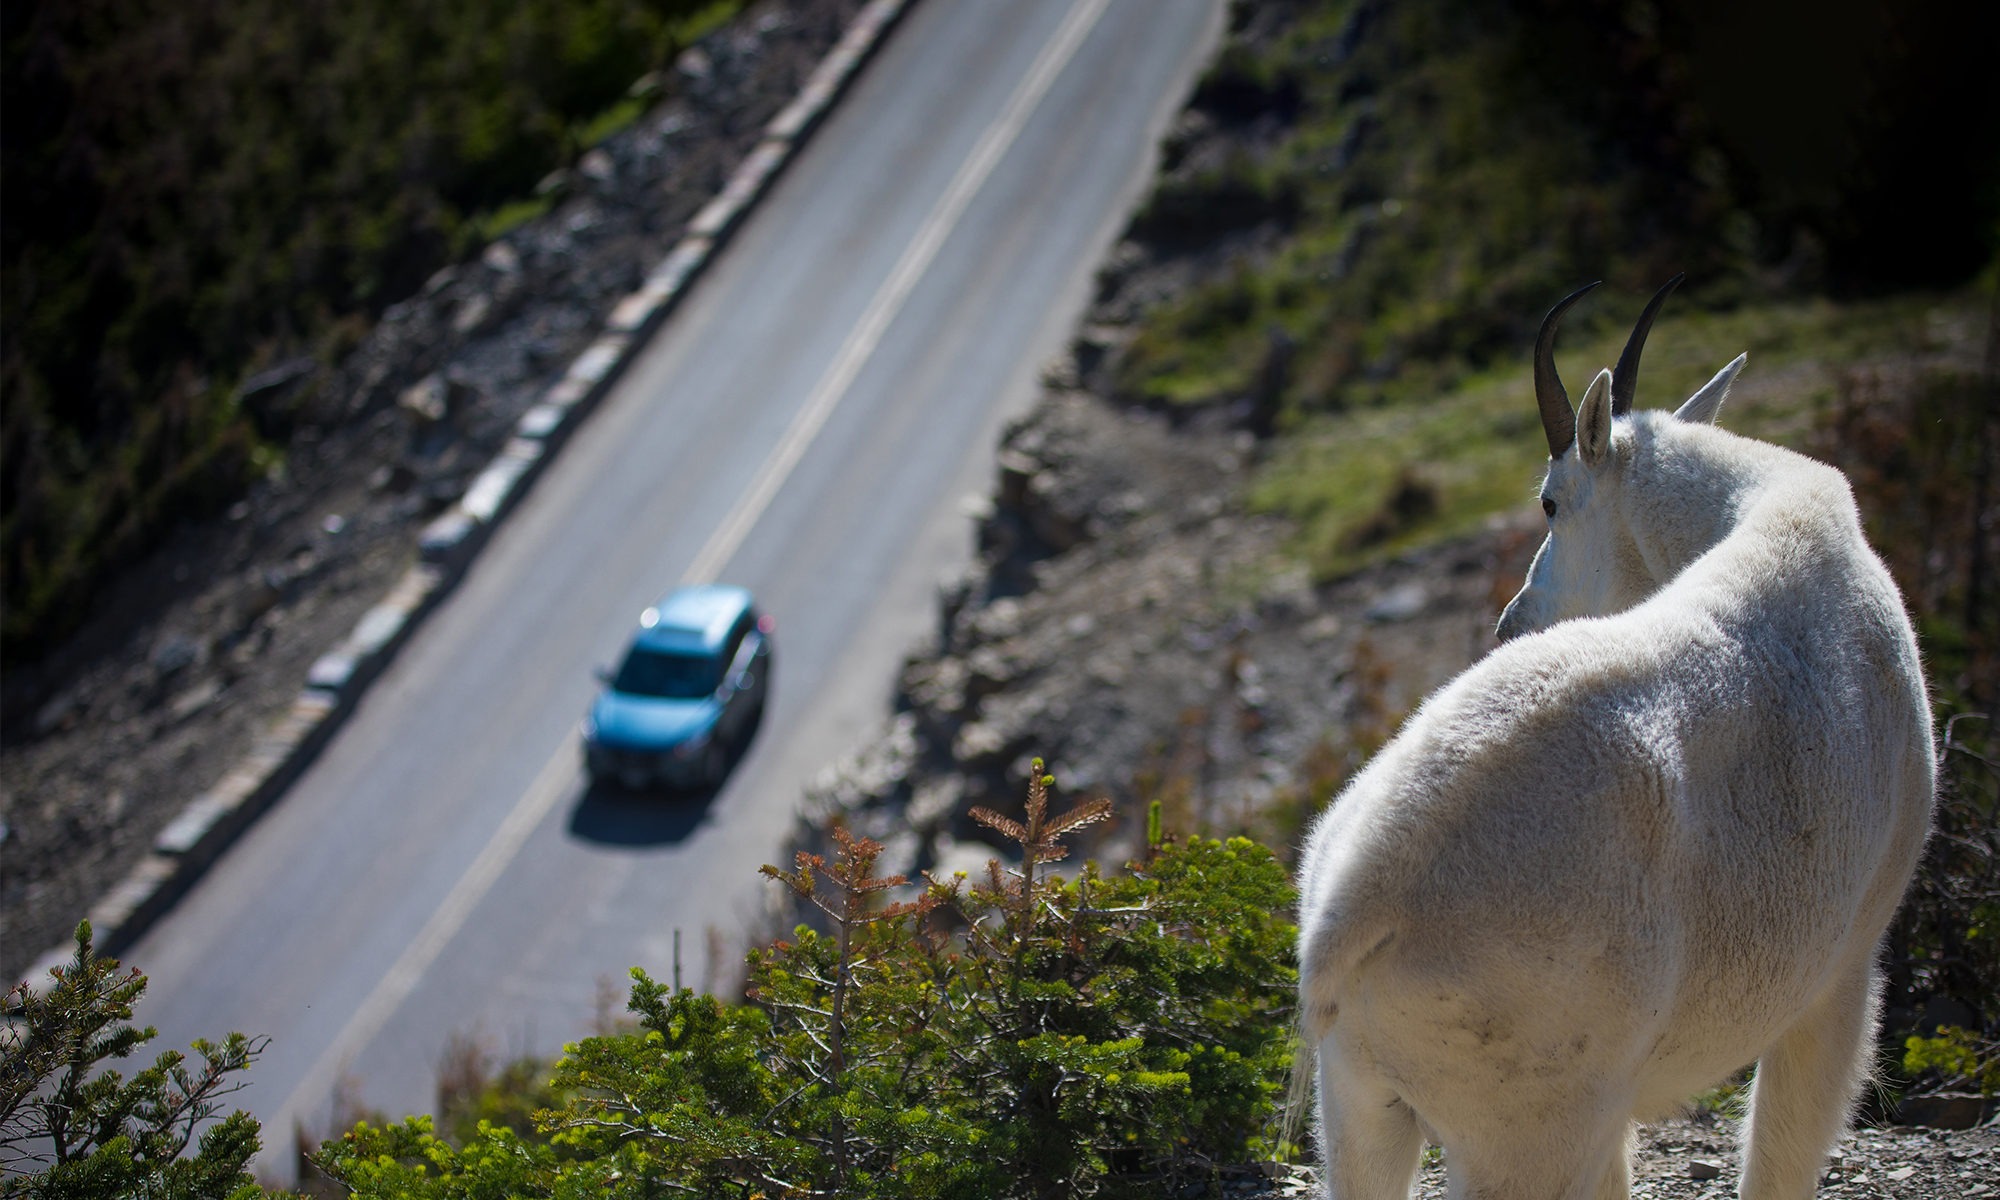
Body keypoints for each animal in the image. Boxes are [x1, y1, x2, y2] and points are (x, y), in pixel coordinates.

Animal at [1296, 282, 1936, 1200]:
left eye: (1550, 501)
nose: (1512, 621)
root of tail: (1361, 894)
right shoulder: (1842, 973)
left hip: (1358, 1105)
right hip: (1524, 1133)